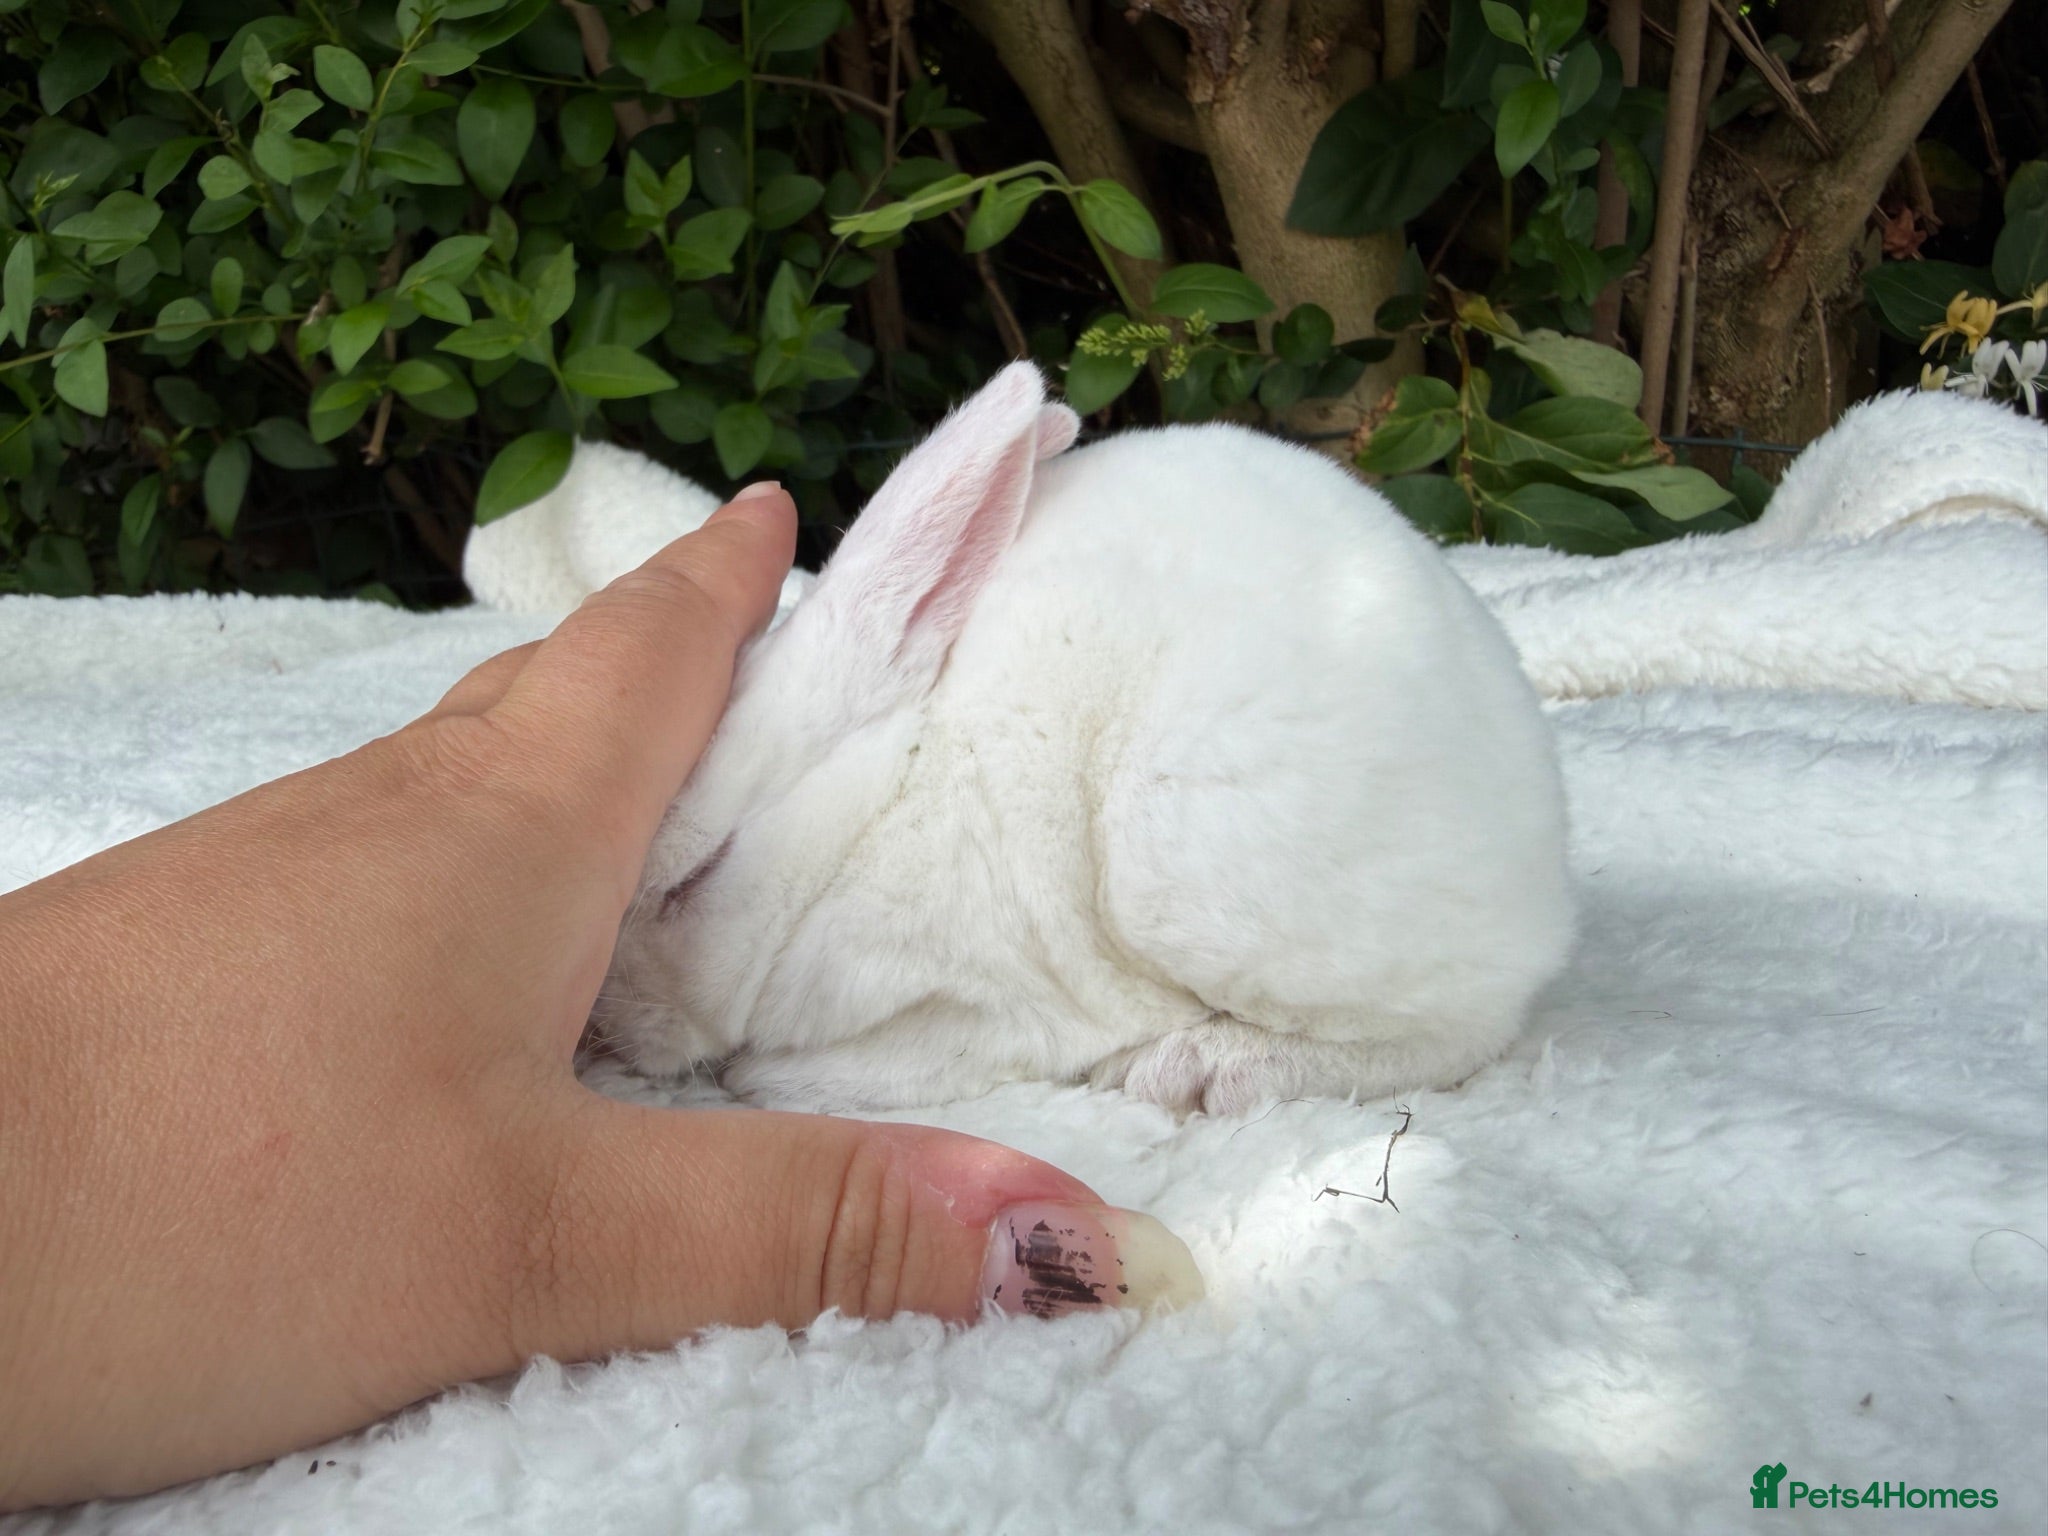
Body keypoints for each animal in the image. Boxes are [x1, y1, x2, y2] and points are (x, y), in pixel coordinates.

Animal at [594, 361, 1575, 1115]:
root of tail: (1544, 869)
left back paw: (1201, 1067)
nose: (610, 1030)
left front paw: (769, 1080)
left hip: (1196, 872)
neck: (876, 805)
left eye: (696, 878)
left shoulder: (994, 1003)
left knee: (1456, 1032)